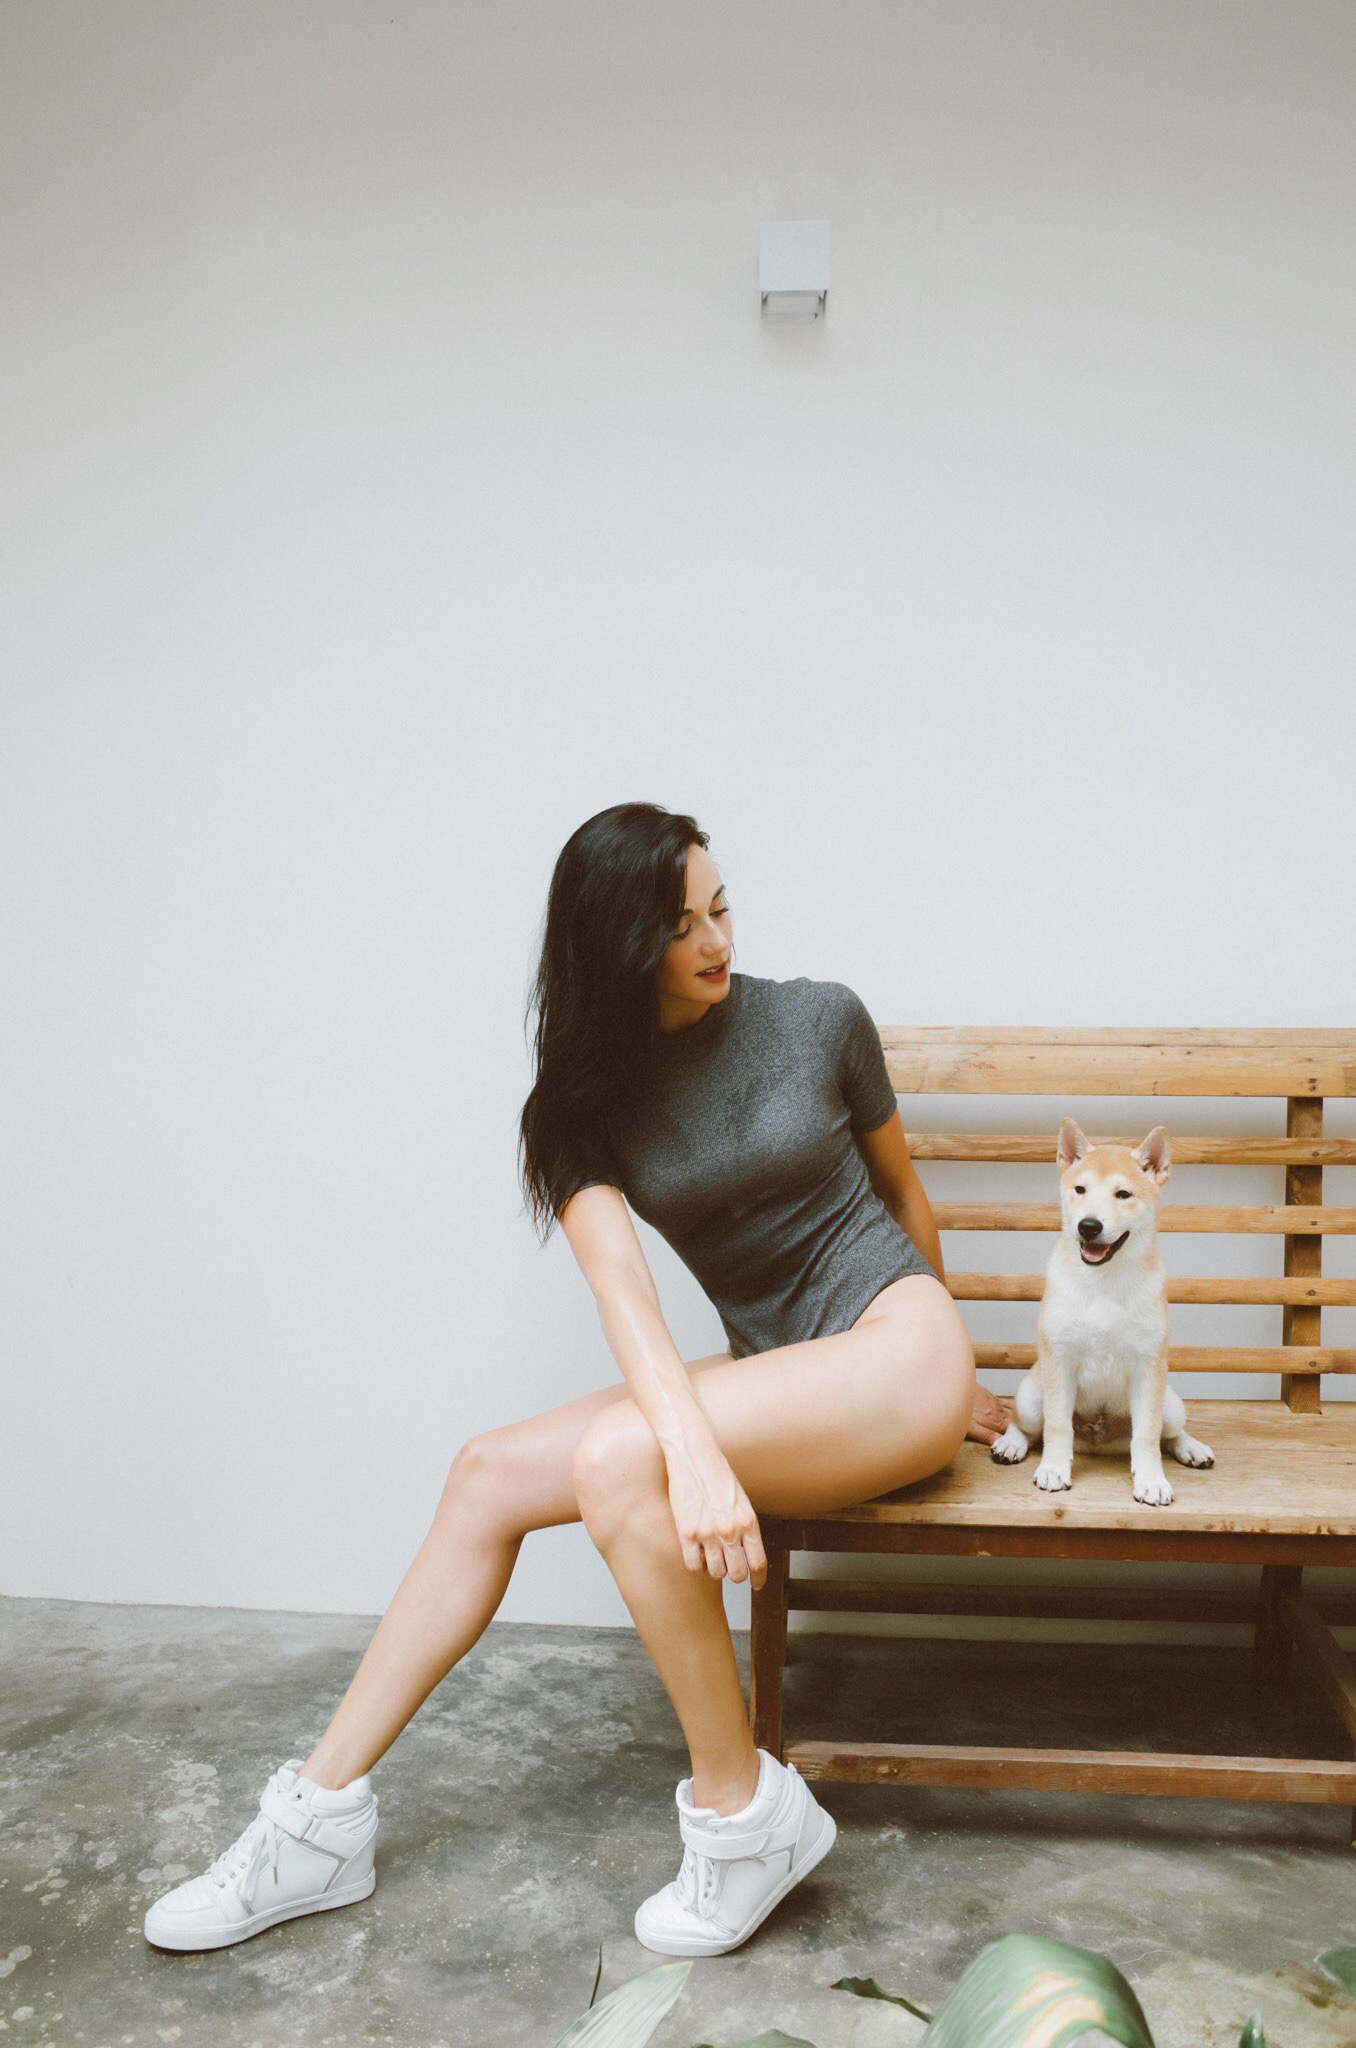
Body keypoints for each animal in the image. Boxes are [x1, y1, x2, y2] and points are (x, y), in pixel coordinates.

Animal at [989, 1119, 1214, 1505]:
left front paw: (1151, 1480)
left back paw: (1191, 1448)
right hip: (1031, 1396)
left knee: (1168, 1433)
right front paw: (1054, 1469)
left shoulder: (1147, 1367)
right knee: (1029, 1427)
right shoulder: (1060, 1361)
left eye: (1123, 1194)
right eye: (1080, 1189)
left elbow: (1147, 1435)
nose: (1089, 1226)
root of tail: (1098, 1438)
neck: (1104, 1284)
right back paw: (1011, 1443)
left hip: (1171, 1403)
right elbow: (1057, 1426)